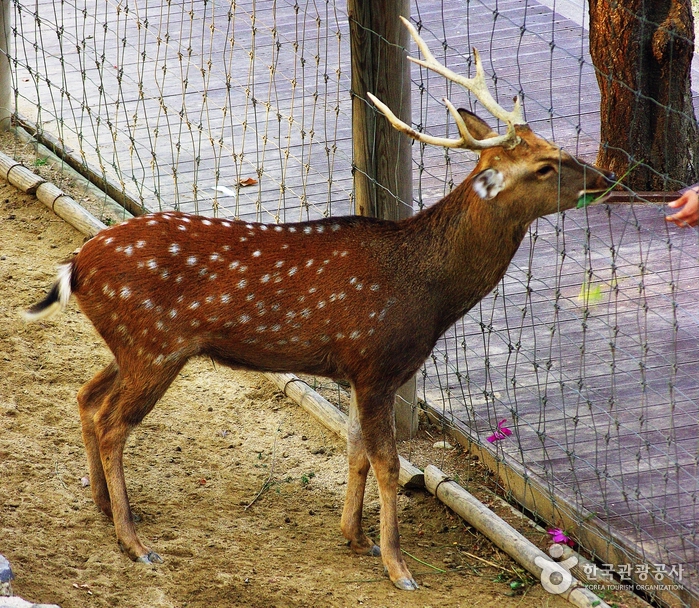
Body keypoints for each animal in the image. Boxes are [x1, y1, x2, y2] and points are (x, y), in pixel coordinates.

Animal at [24, 15, 612, 592]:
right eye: (544, 166)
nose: (606, 178)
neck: (430, 295)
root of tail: (75, 265)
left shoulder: (356, 370)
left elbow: (355, 449)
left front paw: (355, 537)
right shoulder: (377, 364)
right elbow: (388, 463)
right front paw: (399, 568)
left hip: (131, 345)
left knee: (86, 396)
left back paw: (106, 507)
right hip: (154, 346)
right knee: (113, 423)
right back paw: (135, 542)